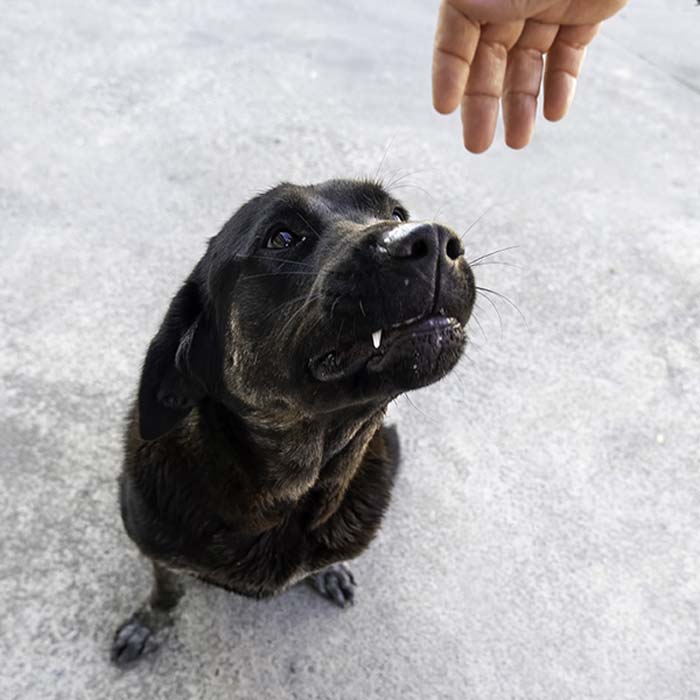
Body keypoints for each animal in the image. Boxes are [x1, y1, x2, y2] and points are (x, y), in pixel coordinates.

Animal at [113, 178, 476, 664]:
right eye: (282, 237)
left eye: (397, 214)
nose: (433, 240)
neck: (294, 490)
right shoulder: (154, 544)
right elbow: (165, 589)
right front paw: (149, 623)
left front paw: (329, 569)